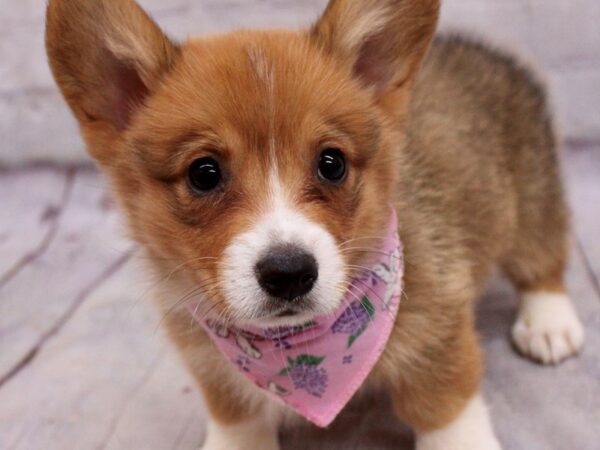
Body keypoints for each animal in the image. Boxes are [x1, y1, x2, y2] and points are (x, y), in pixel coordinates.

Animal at [48, 0, 584, 450]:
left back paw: (549, 323)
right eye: (204, 174)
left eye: (332, 163)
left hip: (533, 201)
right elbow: (236, 418)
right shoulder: (214, 371)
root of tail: (486, 51)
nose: (289, 273)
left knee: (545, 257)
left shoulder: (439, 337)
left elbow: (445, 413)